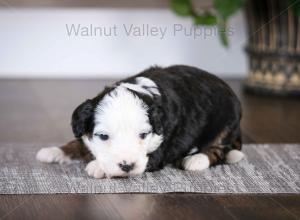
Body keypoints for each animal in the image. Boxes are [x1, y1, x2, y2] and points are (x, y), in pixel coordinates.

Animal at [36, 65, 245, 179]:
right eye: (104, 136)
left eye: (143, 135)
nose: (127, 166)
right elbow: (79, 143)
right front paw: (54, 151)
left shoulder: (160, 147)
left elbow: (149, 158)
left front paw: (98, 166)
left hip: (226, 121)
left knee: (219, 149)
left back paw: (196, 160)